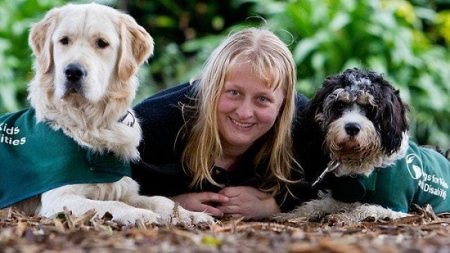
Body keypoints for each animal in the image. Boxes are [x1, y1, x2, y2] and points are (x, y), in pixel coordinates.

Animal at [282, 68, 450, 222]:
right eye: (340, 105)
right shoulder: (346, 196)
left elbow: (365, 209)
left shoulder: (396, 208)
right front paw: (291, 215)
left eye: (370, 107)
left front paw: (340, 217)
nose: (352, 127)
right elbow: (318, 204)